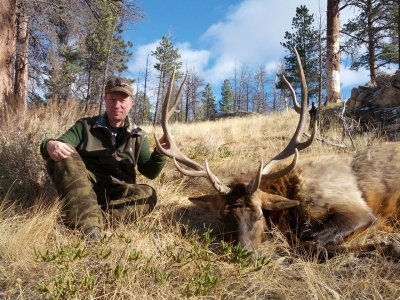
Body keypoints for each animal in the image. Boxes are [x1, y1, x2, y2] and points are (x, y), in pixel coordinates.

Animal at [155, 48, 400, 260]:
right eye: (221, 217)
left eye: (259, 214)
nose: (244, 254)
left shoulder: (354, 207)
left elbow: (309, 240)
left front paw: (387, 247)